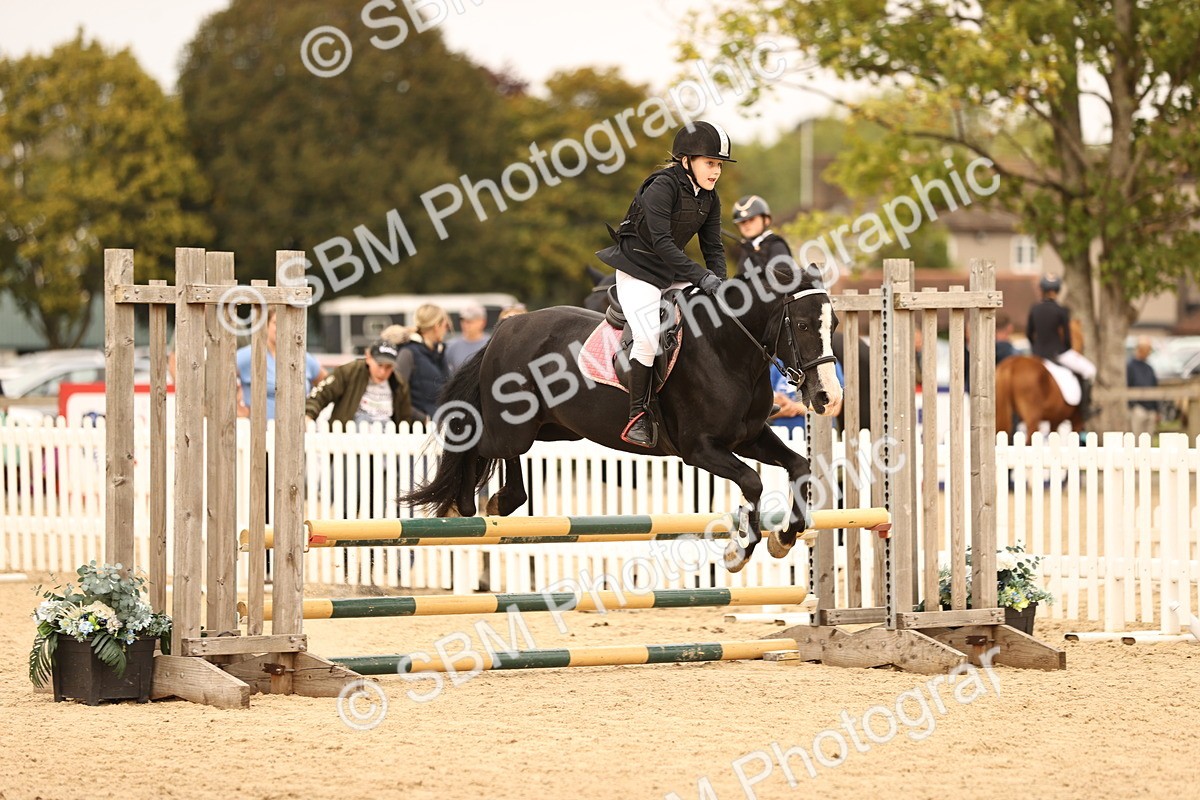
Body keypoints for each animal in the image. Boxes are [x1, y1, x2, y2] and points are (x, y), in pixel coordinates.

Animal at [402, 263, 844, 571]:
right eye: (802, 325)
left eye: (834, 324)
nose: (828, 397)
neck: (727, 351)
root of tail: (503, 331)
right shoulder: (700, 450)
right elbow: (752, 482)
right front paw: (739, 551)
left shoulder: (749, 437)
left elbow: (799, 467)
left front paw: (784, 538)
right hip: (515, 427)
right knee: (478, 442)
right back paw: (462, 505)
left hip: (554, 429)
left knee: (509, 459)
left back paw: (502, 500)